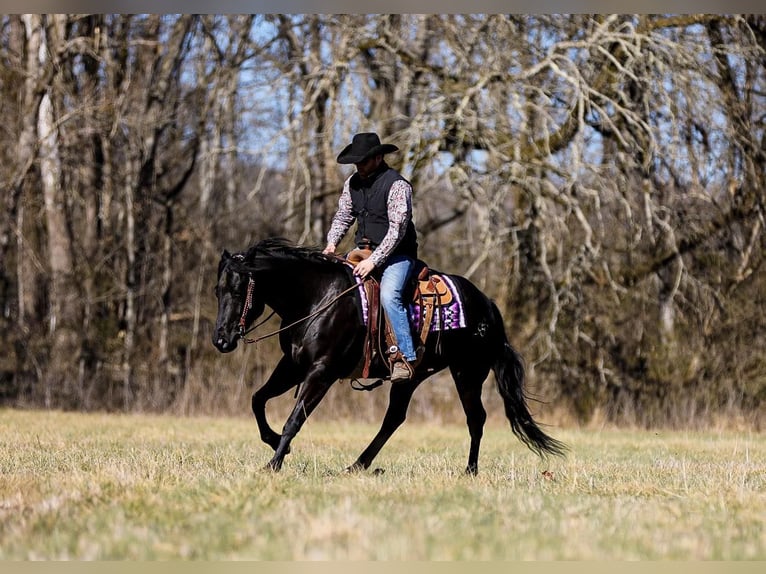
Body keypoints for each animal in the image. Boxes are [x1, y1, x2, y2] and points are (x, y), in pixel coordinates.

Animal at [213, 236, 568, 474]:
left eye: (238, 289)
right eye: (218, 290)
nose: (221, 340)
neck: (318, 298)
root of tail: (488, 306)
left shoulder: (321, 372)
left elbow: (295, 418)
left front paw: (273, 464)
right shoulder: (293, 365)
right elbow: (258, 399)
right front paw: (275, 444)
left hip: (467, 372)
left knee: (475, 418)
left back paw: (470, 470)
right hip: (413, 377)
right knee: (394, 418)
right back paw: (358, 465)